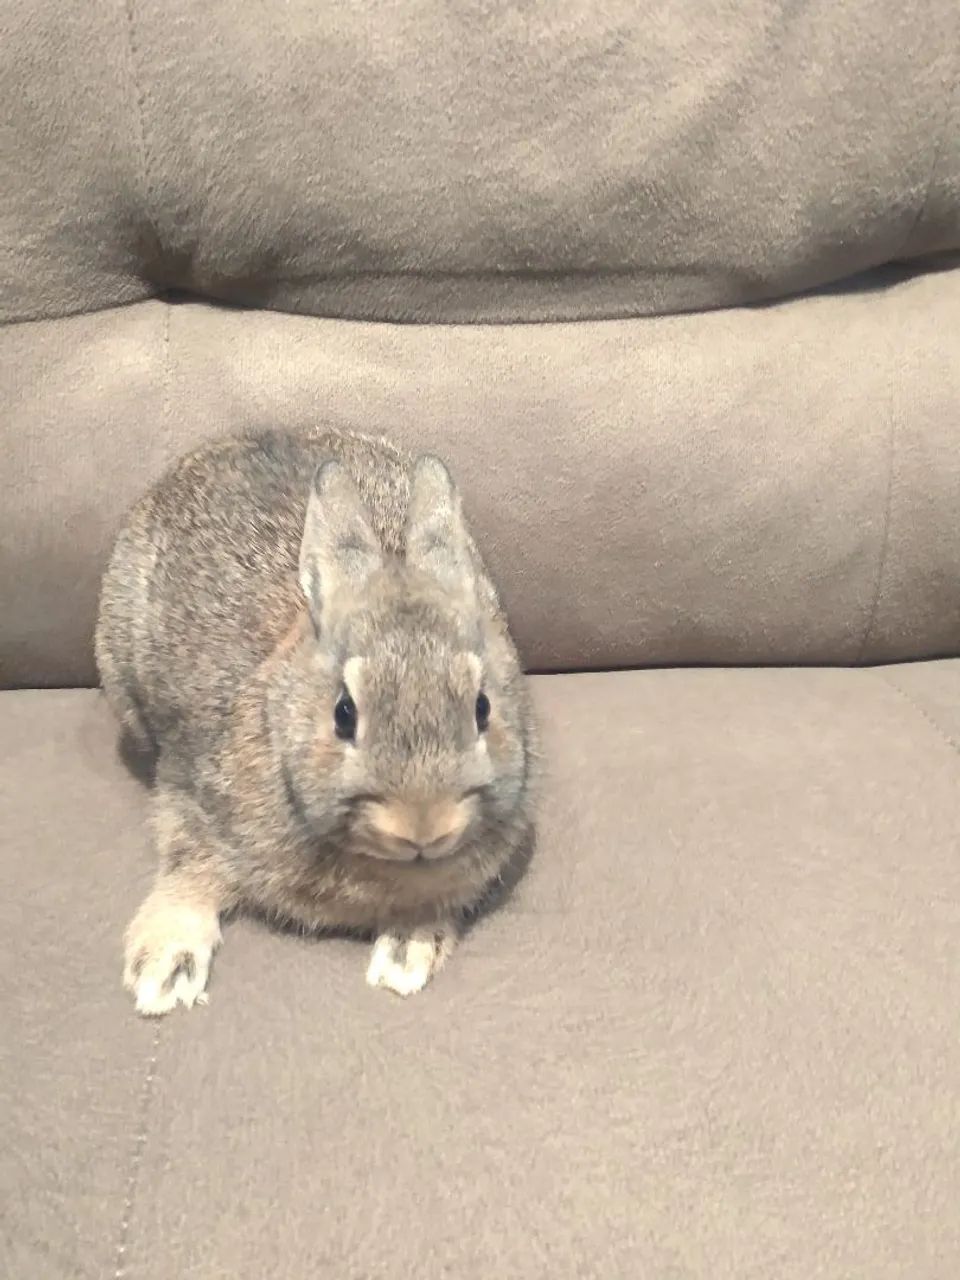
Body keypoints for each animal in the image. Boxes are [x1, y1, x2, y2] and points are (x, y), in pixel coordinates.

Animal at [96, 428, 535, 1015]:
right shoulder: (188, 793)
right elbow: (187, 870)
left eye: (482, 707)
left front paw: (406, 957)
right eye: (343, 714)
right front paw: (162, 974)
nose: (423, 825)